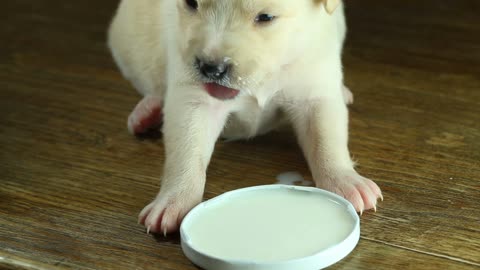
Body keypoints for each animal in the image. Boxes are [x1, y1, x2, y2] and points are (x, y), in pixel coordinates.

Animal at [109, 0, 382, 235]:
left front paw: (344, 180)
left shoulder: (313, 87)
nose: (210, 68)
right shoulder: (193, 99)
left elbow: (326, 141)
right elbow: (186, 153)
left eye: (266, 17)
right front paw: (174, 200)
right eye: (191, 3)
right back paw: (148, 111)